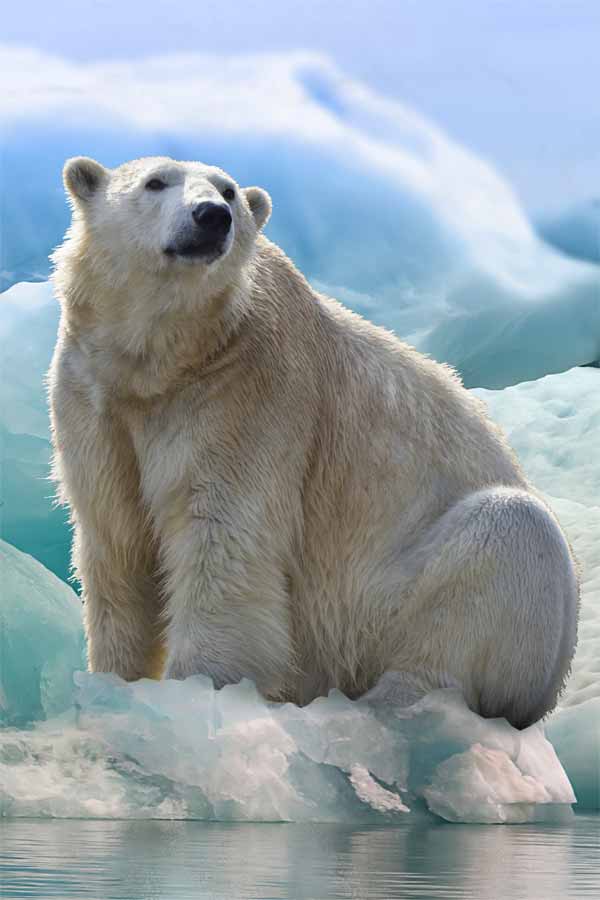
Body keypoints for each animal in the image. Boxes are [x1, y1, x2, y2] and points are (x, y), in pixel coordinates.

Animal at [49, 156, 580, 732]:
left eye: (229, 191)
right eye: (155, 182)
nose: (211, 216)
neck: (168, 361)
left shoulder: (247, 393)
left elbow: (222, 543)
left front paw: (196, 692)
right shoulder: (95, 398)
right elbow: (117, 542)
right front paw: (112, 683)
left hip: (399, 602)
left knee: (506, 539)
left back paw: (390, 702)